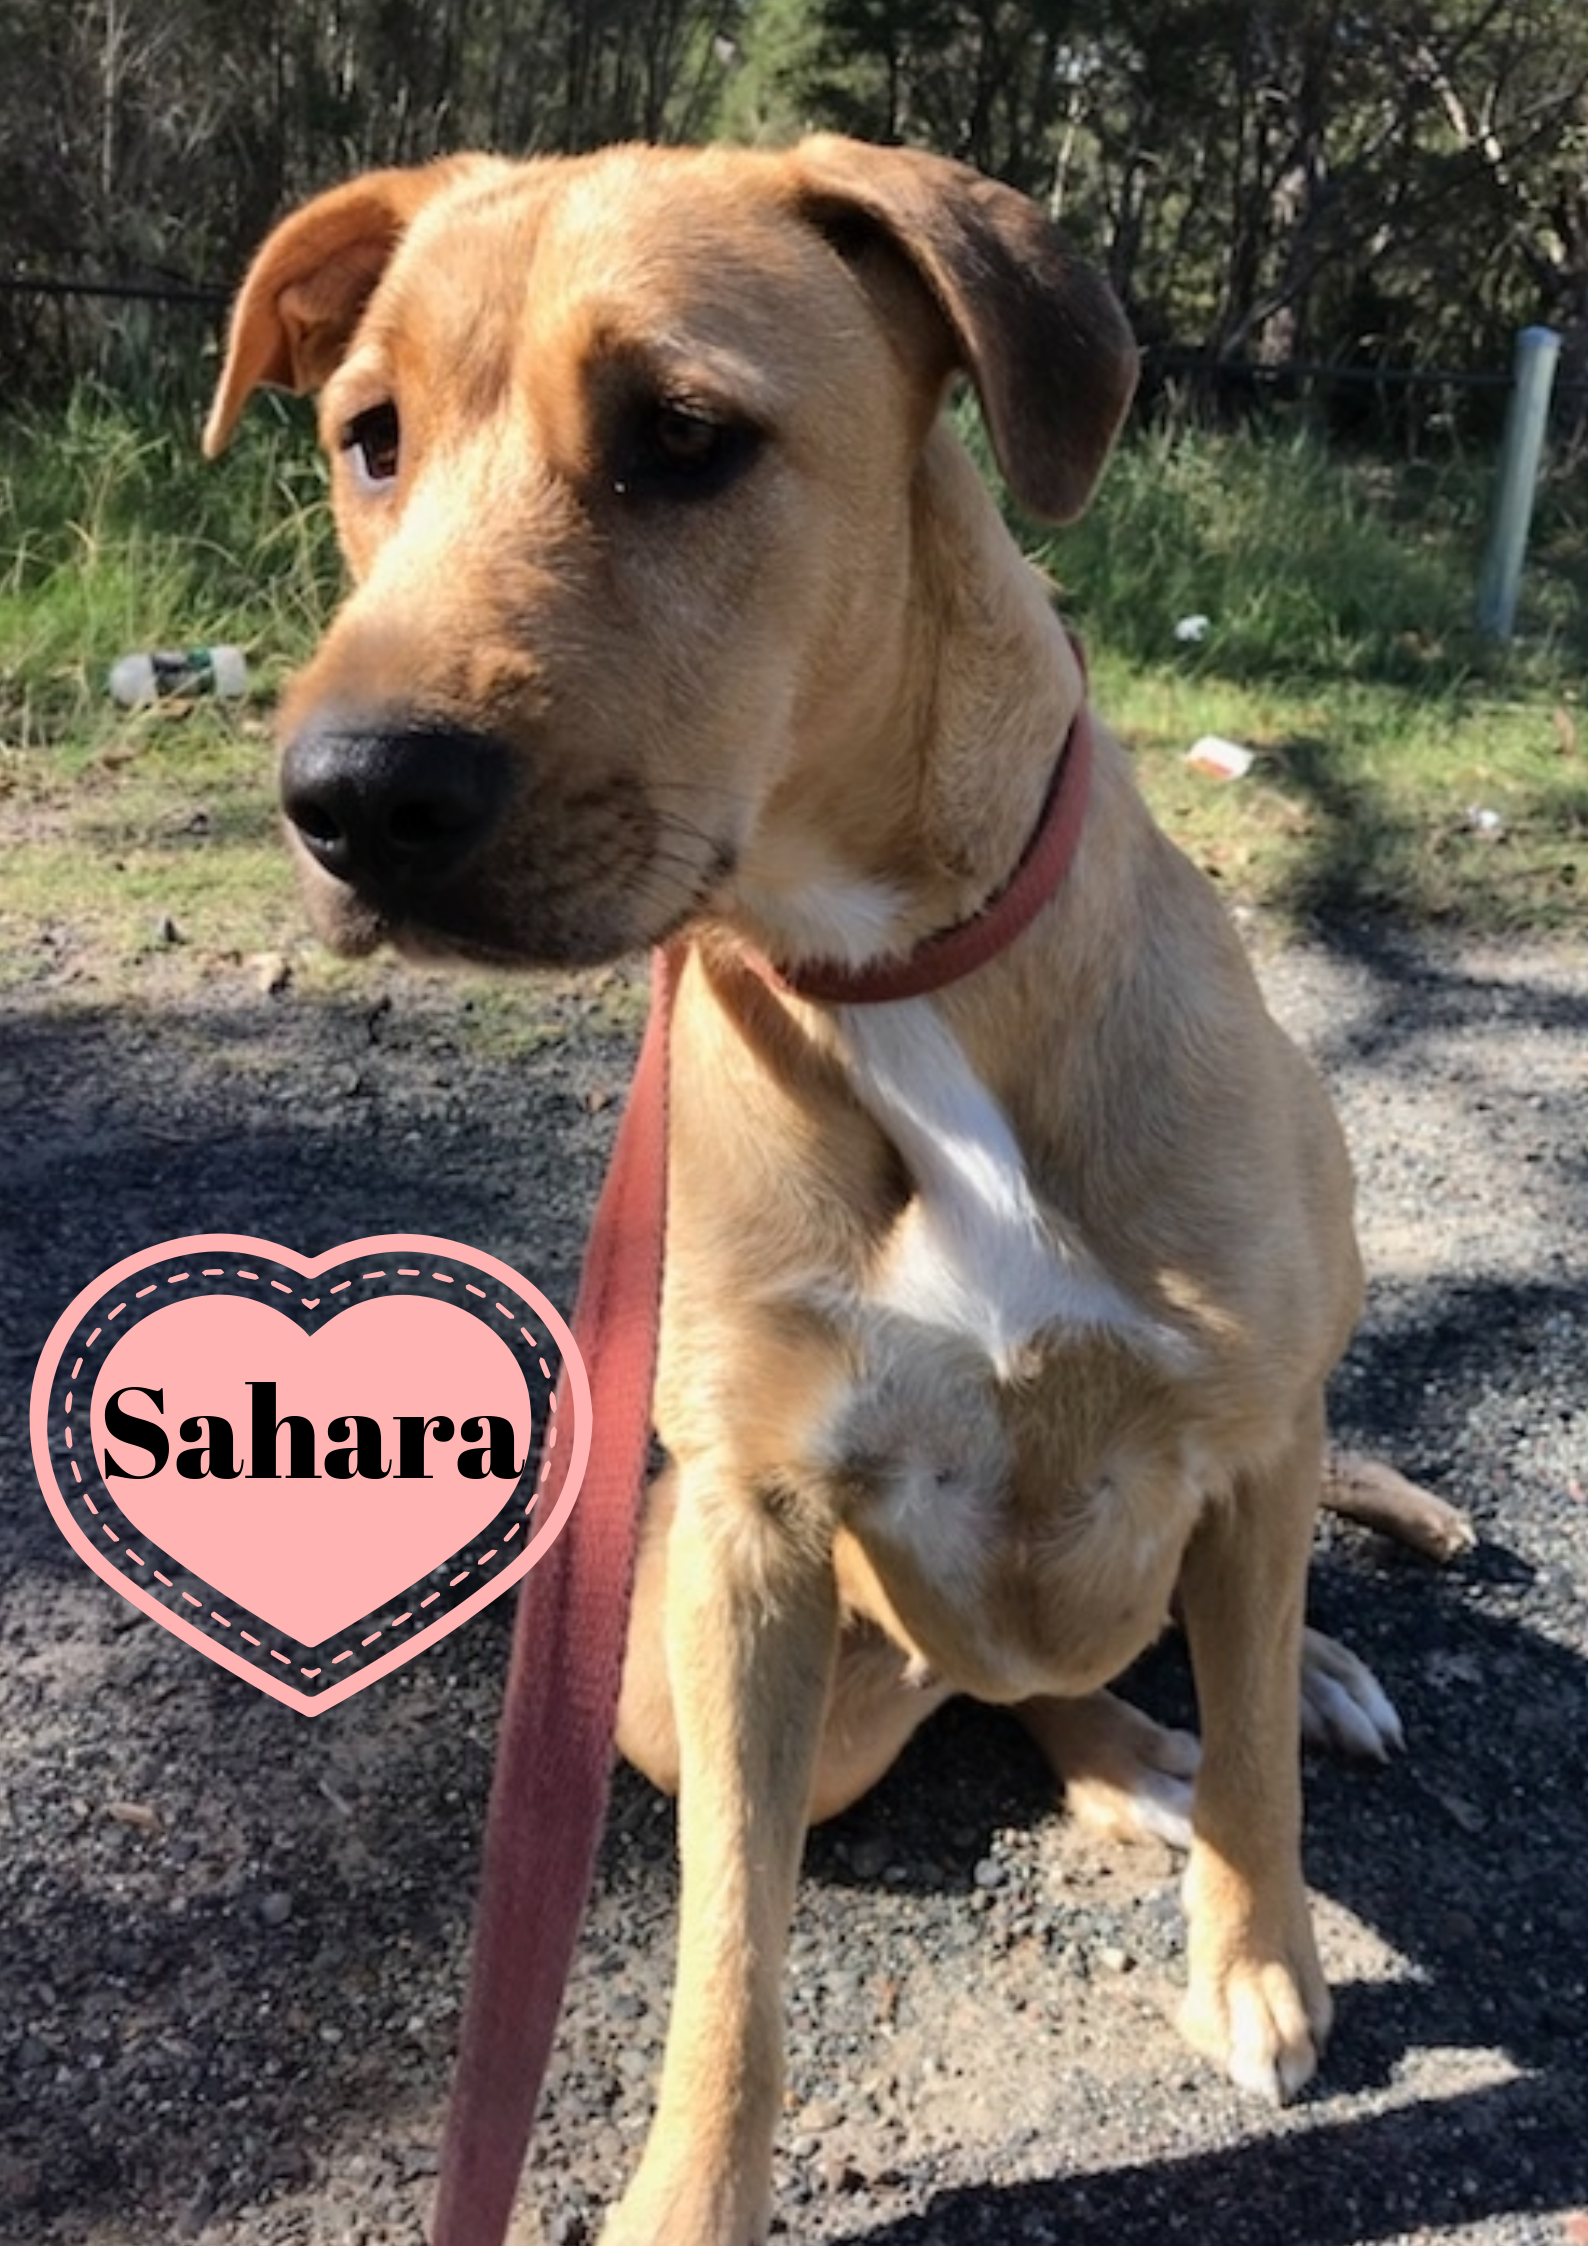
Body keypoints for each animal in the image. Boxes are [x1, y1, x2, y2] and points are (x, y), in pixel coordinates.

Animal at [205, 137, 1468, 2244]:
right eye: (368, 440)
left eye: (682, 436)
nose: (348, 796)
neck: (886, 971)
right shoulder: (748, 1534)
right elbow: (729, 1945)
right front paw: (682, 2198)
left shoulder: (1246, 1420)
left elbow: (1263, 1768)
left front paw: (1259, 1957)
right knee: (1031, 1687)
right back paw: (1125, 1751)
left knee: (1233, 1621)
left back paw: (1297, 1667)